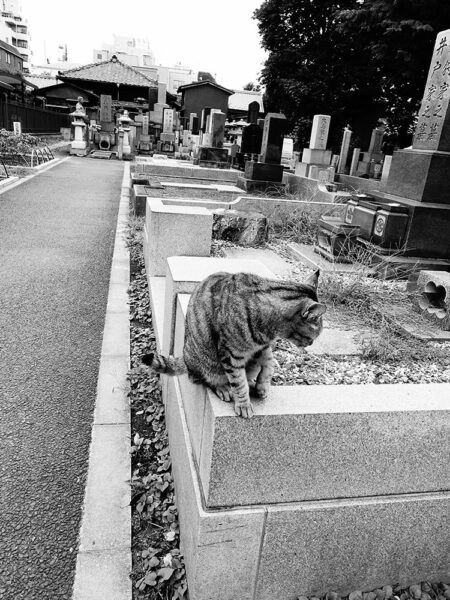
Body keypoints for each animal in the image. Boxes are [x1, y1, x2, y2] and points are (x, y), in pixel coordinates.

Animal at [142, 270, 326, 418]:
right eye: (315, 335)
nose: (311, 343)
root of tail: (185, 358)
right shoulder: (231, 354)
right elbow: (238, 381)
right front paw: (243, 403)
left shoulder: (262, 347)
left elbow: (269, 362)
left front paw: (263, 385)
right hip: (207, 362)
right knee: (203, 378)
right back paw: (224, 387)